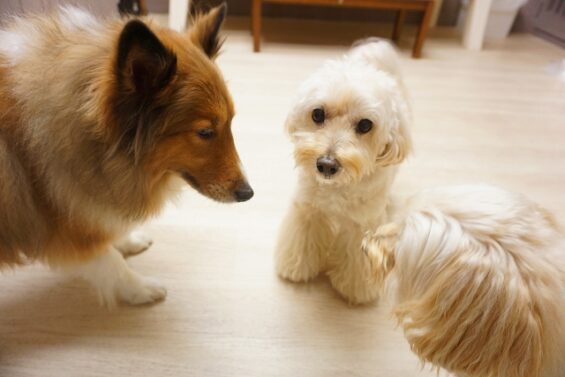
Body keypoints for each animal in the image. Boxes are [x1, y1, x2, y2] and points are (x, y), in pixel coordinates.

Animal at [276, 39, 412, 302]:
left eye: (365, 125)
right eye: (317, 114)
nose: (326, 164)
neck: (337, 187)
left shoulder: (363, 224)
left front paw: (357, 289)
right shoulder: (307, 210)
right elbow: (301, 241)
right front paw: (296, 267)